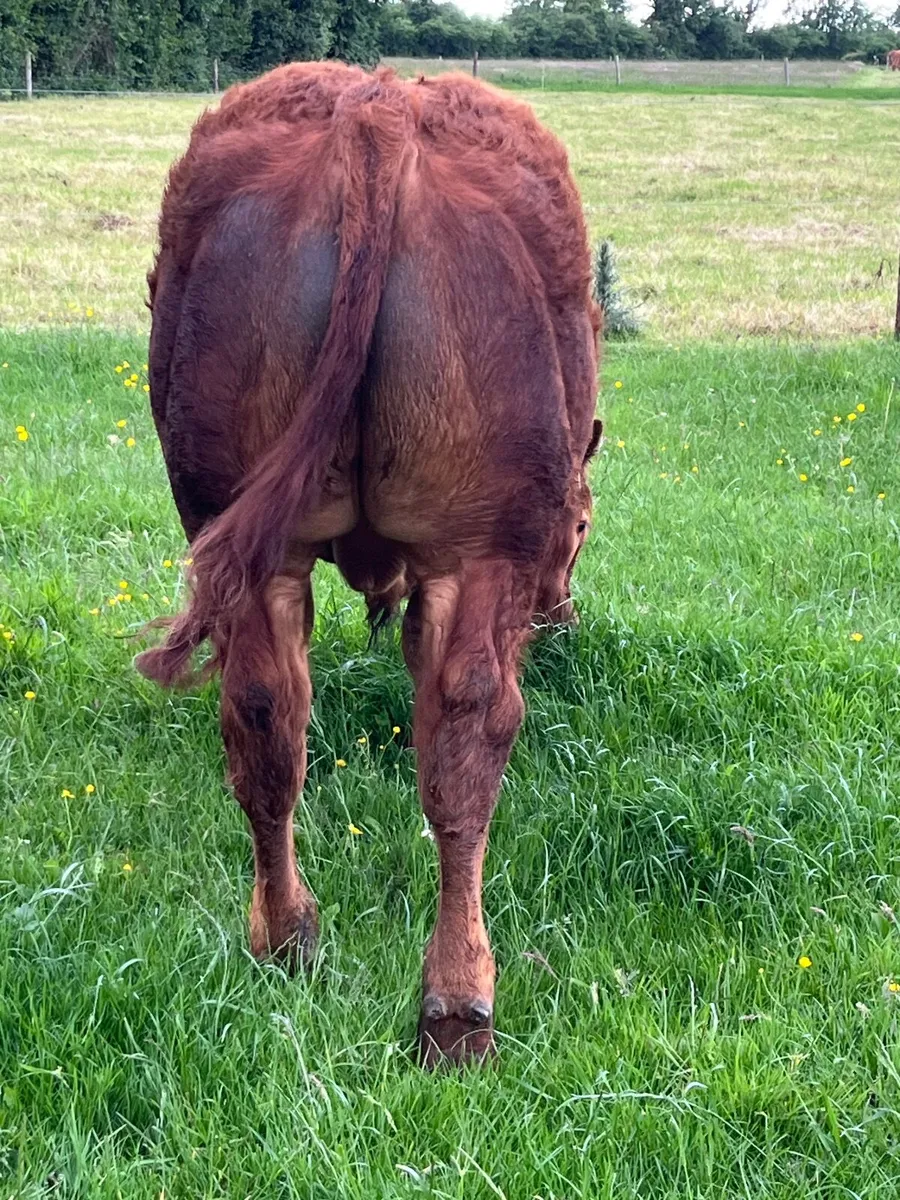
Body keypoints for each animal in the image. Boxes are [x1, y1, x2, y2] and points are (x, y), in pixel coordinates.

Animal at [136, 61, 601, 1066]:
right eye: (580, 530)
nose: (564, 618)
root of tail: (377, 109)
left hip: (251, 548)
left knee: (265, 720)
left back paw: (286, 939)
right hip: (479, 551)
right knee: (468, 745)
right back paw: (458, 1004)